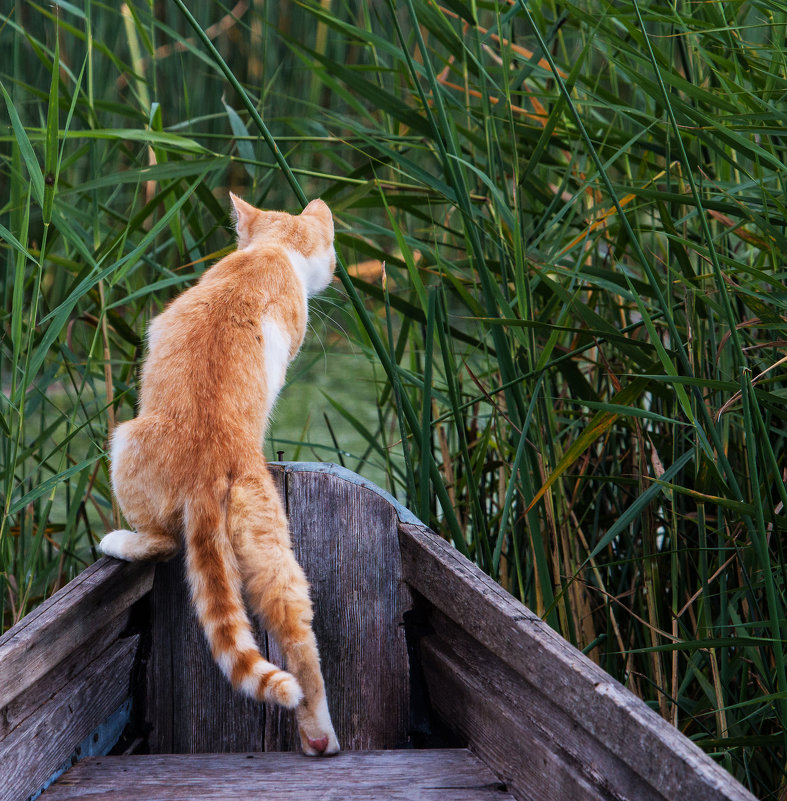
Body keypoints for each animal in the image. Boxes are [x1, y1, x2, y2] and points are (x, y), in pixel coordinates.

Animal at [100, 194, 340, 756]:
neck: (270, 253)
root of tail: (211, 464)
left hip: (125, 440)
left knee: (165, 542)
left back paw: (122, 541)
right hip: (270, 541)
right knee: (297, 635)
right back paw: (320, 734)